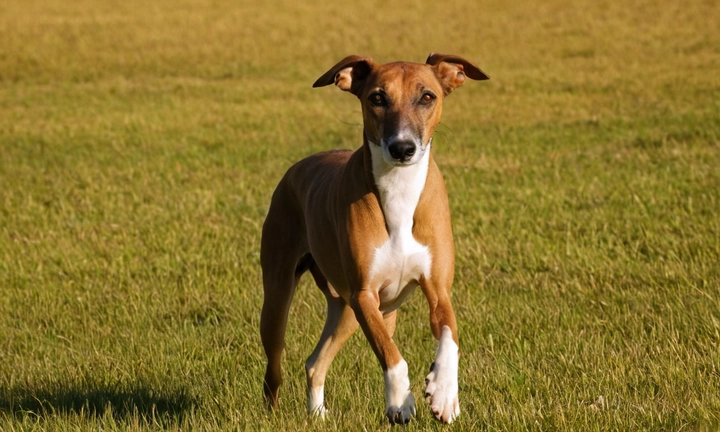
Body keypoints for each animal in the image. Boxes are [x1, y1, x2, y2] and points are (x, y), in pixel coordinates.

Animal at [260, 54, 490, 426]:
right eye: (377, 98)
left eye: (427, 97)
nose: (402, 148)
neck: (399, 189)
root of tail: (295, 168)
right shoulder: (365, 295)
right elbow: (391, 355)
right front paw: (401, 401)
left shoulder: (437, 289)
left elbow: (449, 337)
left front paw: (443, 393)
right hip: (281, 297)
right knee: (274, 368)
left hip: (348, 310)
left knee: (315, 363)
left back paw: (319, 414)